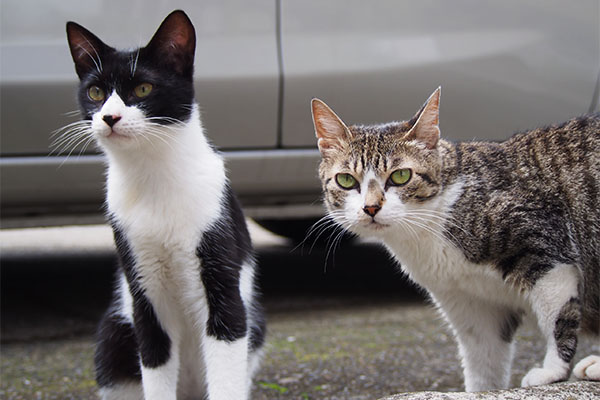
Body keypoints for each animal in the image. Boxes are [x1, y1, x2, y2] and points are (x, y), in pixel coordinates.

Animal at [312, 88, 596, 390]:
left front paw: (552, 371)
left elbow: (558, 315)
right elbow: (483, 362)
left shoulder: (543, 243)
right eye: (345, 180)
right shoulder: (469, 302)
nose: (371, 207)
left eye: (401, 176)